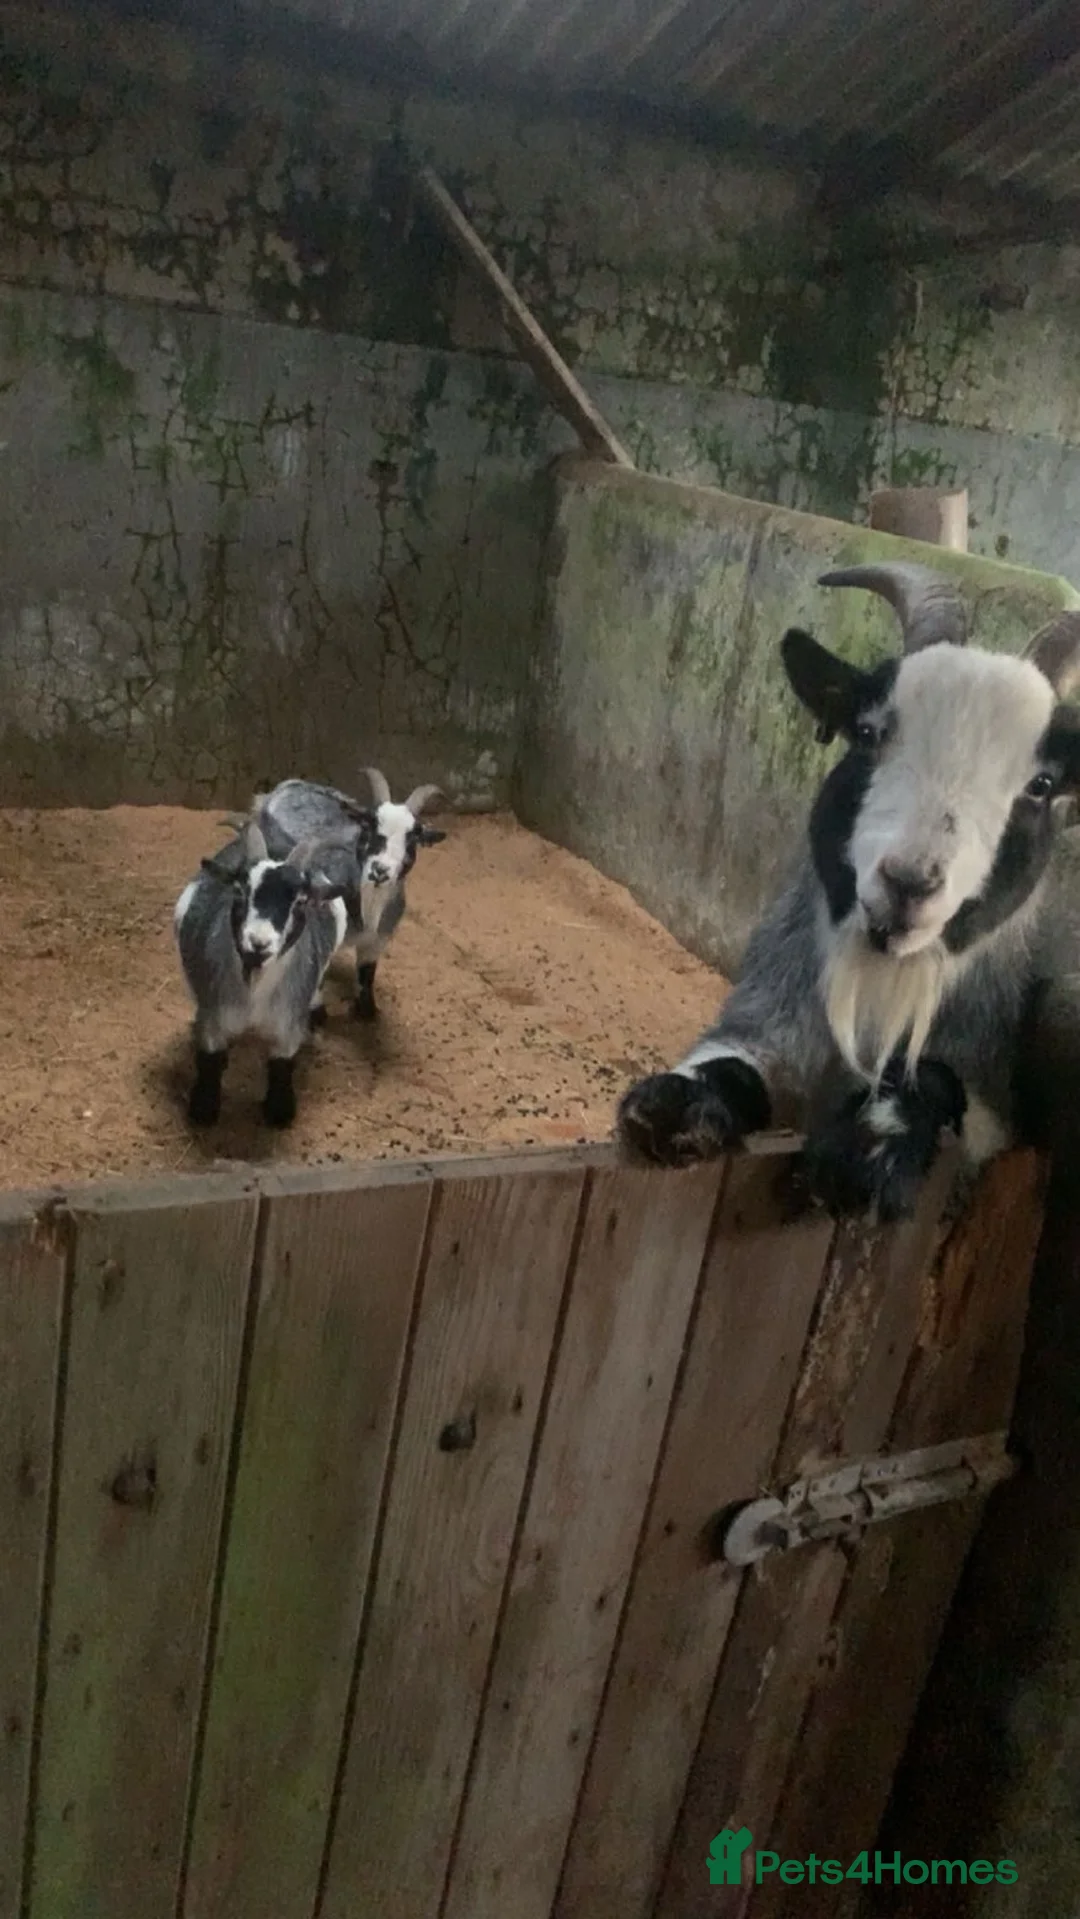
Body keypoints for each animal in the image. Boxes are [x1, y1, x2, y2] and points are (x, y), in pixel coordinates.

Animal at [173, 818, 358, 1127]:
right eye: (240, 891)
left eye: (301, 901)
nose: (259, 944)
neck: (254, 994)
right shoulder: (213, 1016)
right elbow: (210, 1062)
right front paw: (204, 1107)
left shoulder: (287, 1026)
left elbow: (281, 1066)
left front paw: (280, 1110)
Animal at [253, 769, 446, 1020]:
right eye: (370, 827)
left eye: (412, 839)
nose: (380, 870)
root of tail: (288, 785)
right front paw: (317, 1013)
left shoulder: (376, 942)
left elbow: (367, 975)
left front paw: (367, 1010)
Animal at [617, 562, 1080, 1221]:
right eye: (867, 731)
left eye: (1041, 785)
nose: (908, 883)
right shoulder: (768, 1019)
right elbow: (731, 1063)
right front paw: (672, 1110)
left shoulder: (990, 1118)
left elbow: (936, 1083)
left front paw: (867, 1149)